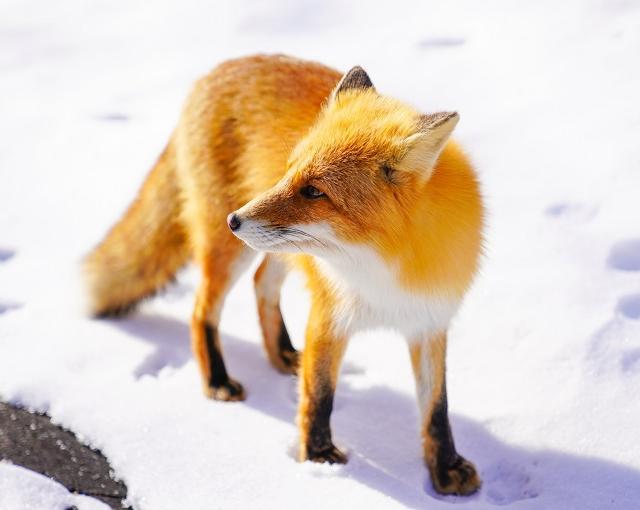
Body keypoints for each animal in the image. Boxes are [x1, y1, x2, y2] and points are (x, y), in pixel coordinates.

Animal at [86, 53, 484, 496]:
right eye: (288, 171)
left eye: (314, 191)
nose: (234, 220)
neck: (386, 268)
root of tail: (218, 68)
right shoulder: (330, 313)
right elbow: (319, 395)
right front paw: (319, 458)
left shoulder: (428, 322)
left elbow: (436, 408)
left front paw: (444, 468)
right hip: (227, 253)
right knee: (202, 310)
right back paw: (217, 380)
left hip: (276, 248)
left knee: (262, 283)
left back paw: (281, 354)